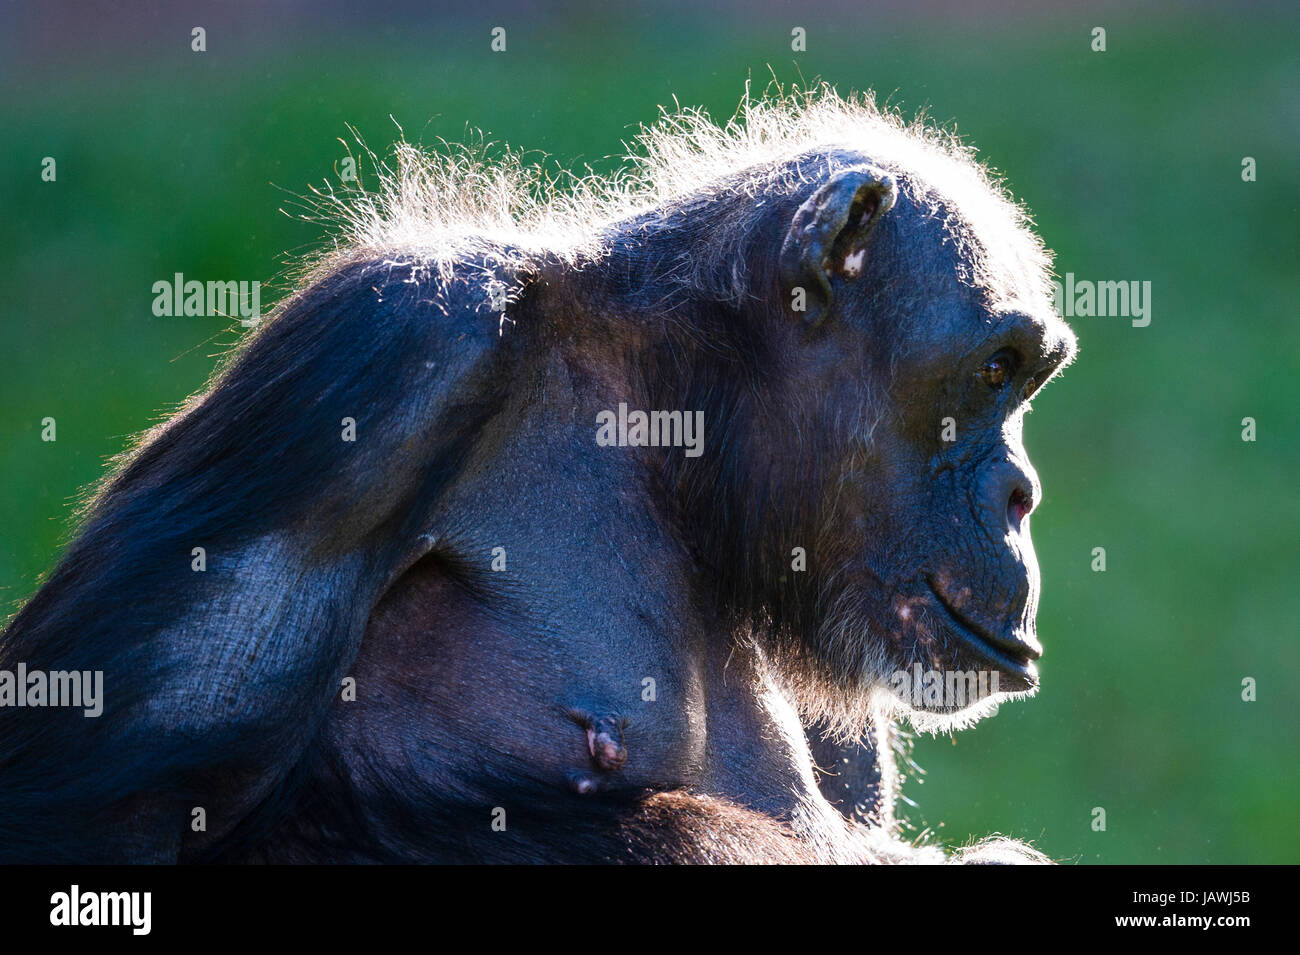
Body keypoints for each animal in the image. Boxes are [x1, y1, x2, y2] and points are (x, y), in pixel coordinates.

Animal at [0, 91, 1076, 867]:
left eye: (1028, 377)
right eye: (994, 370)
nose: (1020, 492)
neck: (670, 419)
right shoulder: (391, 346)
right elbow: (95, 815)